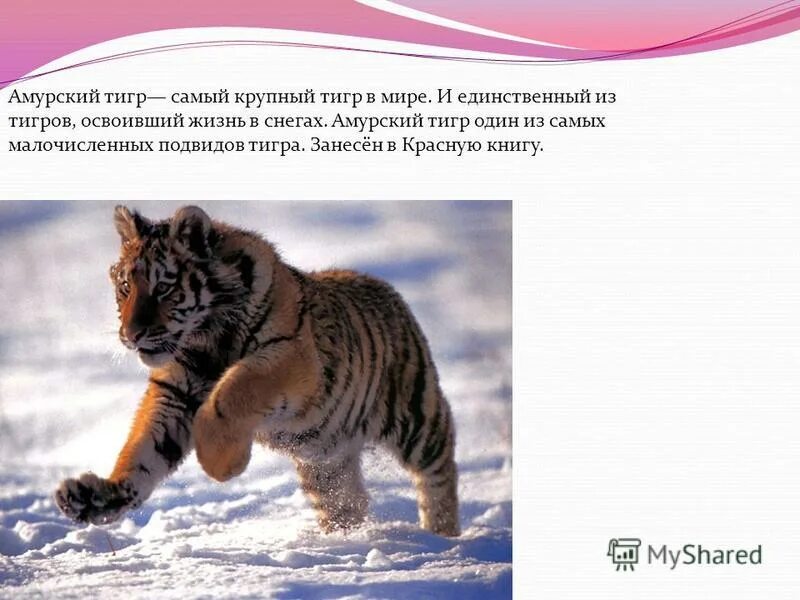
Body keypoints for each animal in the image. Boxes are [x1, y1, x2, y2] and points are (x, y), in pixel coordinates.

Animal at [54, 205, 460, 537]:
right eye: (125, 287)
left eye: (164, 288)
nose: (130, 334)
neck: (204, 338)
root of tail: (387, 288)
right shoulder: (174, 393)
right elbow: (142, 451)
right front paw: (94, 497)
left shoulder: (289, 356)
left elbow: (233, 391)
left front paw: (223, 466)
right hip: (326, 462)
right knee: (348, 502)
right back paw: (344, 540)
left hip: (415, 417)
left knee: (439, 470)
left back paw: (442, 537)